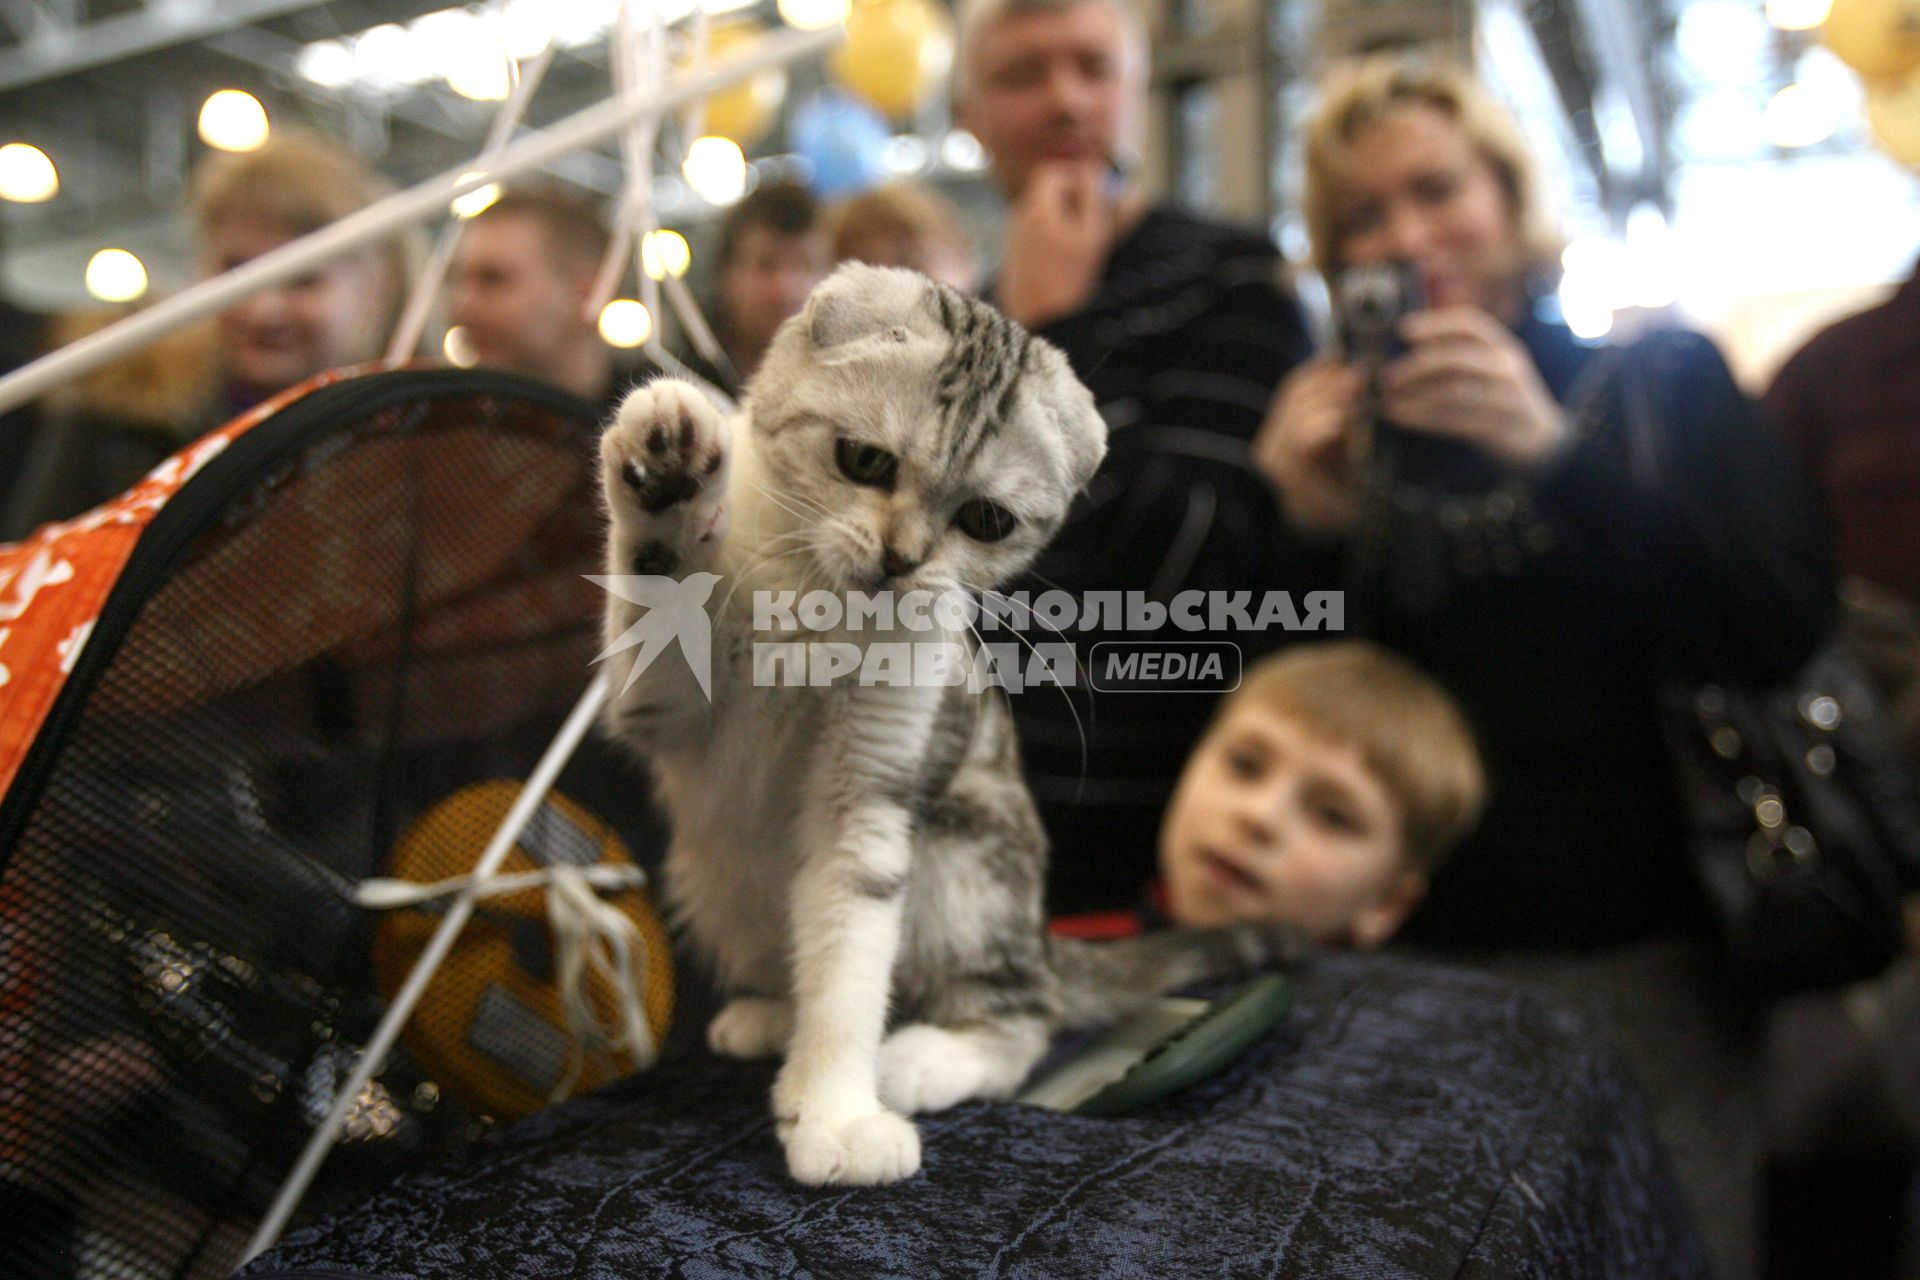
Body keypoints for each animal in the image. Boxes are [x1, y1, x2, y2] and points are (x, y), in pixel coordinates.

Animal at [591, 264, 1297, 1189]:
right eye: (864, 460)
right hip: (719, 882)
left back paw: (917, 1060)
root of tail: (1041, 935)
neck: (817, 612)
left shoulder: (873, 792)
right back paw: (774, 1018)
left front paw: (838, 1112)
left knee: (1026, 1017)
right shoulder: (667, 709)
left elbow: (851, 965)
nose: (901, 562)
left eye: (985, 521)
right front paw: (668, 482)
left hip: (966, 858)